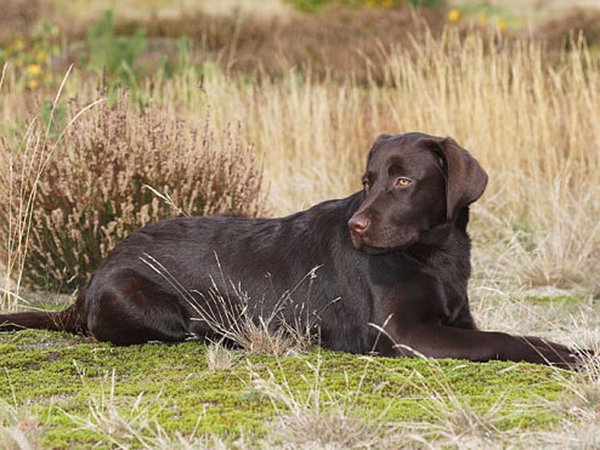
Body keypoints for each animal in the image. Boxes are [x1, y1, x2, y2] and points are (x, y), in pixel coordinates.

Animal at [0, 132, 580, 368]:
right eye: (367, 181)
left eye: (402, 182)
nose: (357, 226)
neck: (434, 255)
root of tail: (88, 282)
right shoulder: (409, 335)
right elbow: (506, 339)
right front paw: (569, 356)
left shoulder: (457, 320)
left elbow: (505, 332)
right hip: (153, 308)